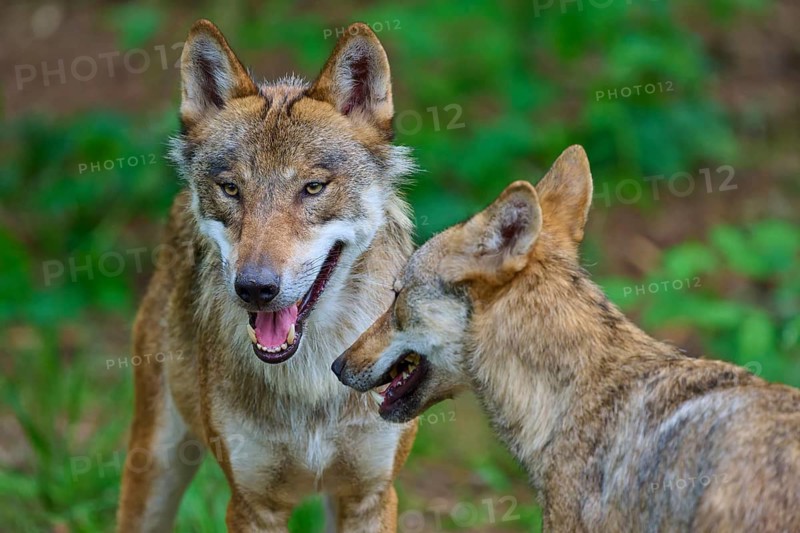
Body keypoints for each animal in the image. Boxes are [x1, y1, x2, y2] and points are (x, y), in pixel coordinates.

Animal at [116, 20, 418, 532]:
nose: (255, 288)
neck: (311, 379)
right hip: (153, 468)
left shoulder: (371, 496)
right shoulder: (251, 503)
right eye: (231, 189)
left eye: (312, 187)